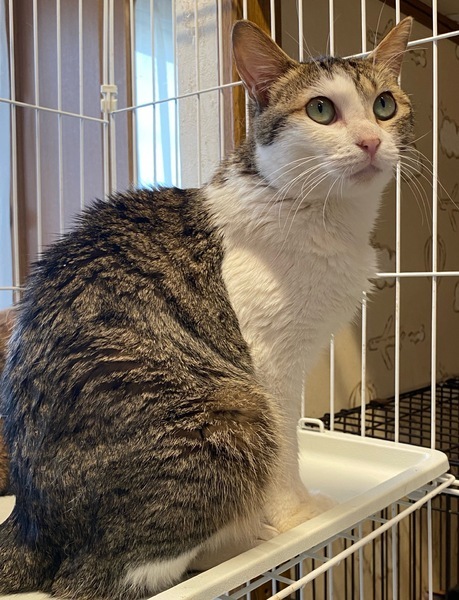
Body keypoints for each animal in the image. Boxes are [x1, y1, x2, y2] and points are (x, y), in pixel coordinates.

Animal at [0, 16, 413, 599]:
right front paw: (296, 515)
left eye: (384, 104)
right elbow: (288, 451)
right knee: (100, 578)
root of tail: (30, 521)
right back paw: (244, 539)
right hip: (235, 416)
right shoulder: (270, 364)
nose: (373, 141)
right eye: (320, 110)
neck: (324, 218)